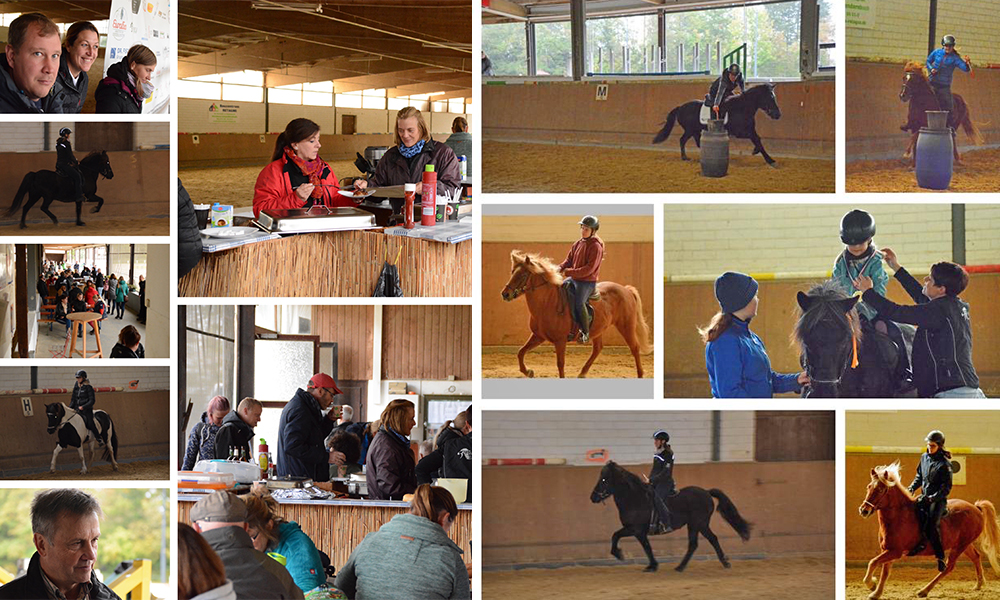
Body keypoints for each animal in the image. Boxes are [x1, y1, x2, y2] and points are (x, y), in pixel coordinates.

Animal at [500, 251, 656, 378]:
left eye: (523, 275)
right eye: (512, 272)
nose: (505, 294)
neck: (547, 303)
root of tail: (626, 290)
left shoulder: (560, 341)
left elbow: (560, 364)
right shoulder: (538, 336)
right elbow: (520, 352)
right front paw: (529, 372)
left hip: (626, 326)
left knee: (634, 348)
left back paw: (640, 374)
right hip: (598, 330)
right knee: (598, 349)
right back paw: (582, 373)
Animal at [584, 462, 752, 576]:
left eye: (604, 479)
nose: (593, 497)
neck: (634, 499)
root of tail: (706, 492)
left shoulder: (636, 530)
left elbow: (624, 539)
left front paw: (622, 555)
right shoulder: (637, 531)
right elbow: (639, 544)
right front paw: (650, 565)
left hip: (699, 524)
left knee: (707, 540)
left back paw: (720, 563)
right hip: (696, 525)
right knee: (699, 543)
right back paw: (685, 566)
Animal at [652, 83, 784, 165]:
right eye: (770, 98)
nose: (778, 114)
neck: (742, 108)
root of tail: (680, 107)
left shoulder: (750, 130)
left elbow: (758, 139)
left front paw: (764, 155)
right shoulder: (739, 133)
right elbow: (757, 140)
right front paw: (768, 159)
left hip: (694, 130)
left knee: (695, 141)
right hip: (690, 129)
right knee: (682, 140)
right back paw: (684, 157)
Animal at [860, 462, 1000, 596]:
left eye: (881, 489)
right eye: (868, 487)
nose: (864, 510)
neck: (900, 516)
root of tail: (976, 508)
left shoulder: (895, 551)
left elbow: (873, 562)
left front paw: (871, 584)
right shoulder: (887, 550)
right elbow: (884, 572)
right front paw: (876, 592)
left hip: (960, 546)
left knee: (949, 567)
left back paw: (924, 591)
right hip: (964, 544)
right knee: (976, 557)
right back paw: (978, 584)